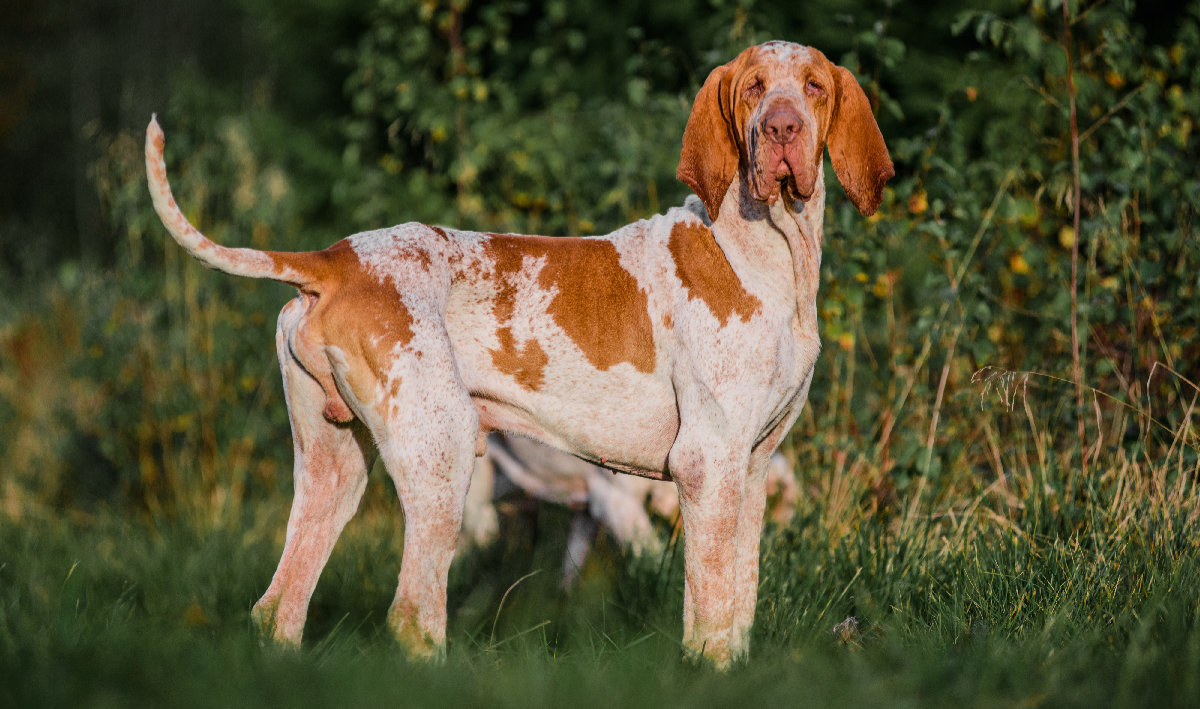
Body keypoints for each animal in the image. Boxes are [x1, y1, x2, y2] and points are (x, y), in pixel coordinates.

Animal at [145, 41, 888, 667]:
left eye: (814, 86)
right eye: (755, 87)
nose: (782, 129)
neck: (767, 252)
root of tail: (334, 258)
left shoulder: (751, 470)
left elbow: (739, 603)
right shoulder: (706, 465)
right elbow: (708, 608)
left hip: (336, 468)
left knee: (278, 607)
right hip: (441, 456)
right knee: (412, 615)